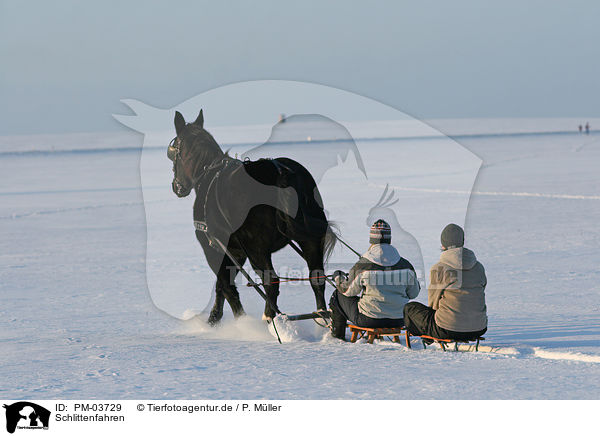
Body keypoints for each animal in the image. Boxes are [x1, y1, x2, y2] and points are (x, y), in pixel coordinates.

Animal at [169, 110, 338, 324]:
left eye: (174, 153)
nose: (177, 187)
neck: (208, 174)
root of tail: (280, 173)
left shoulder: (214, 248)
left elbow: (226, 287)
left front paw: (239, 323)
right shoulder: (236, 251)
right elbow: (221, 286)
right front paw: (214, 319)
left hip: (256, 248)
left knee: (271, 281)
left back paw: (270, 318)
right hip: (309, 239)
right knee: (316, 277)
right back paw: (322, 315)